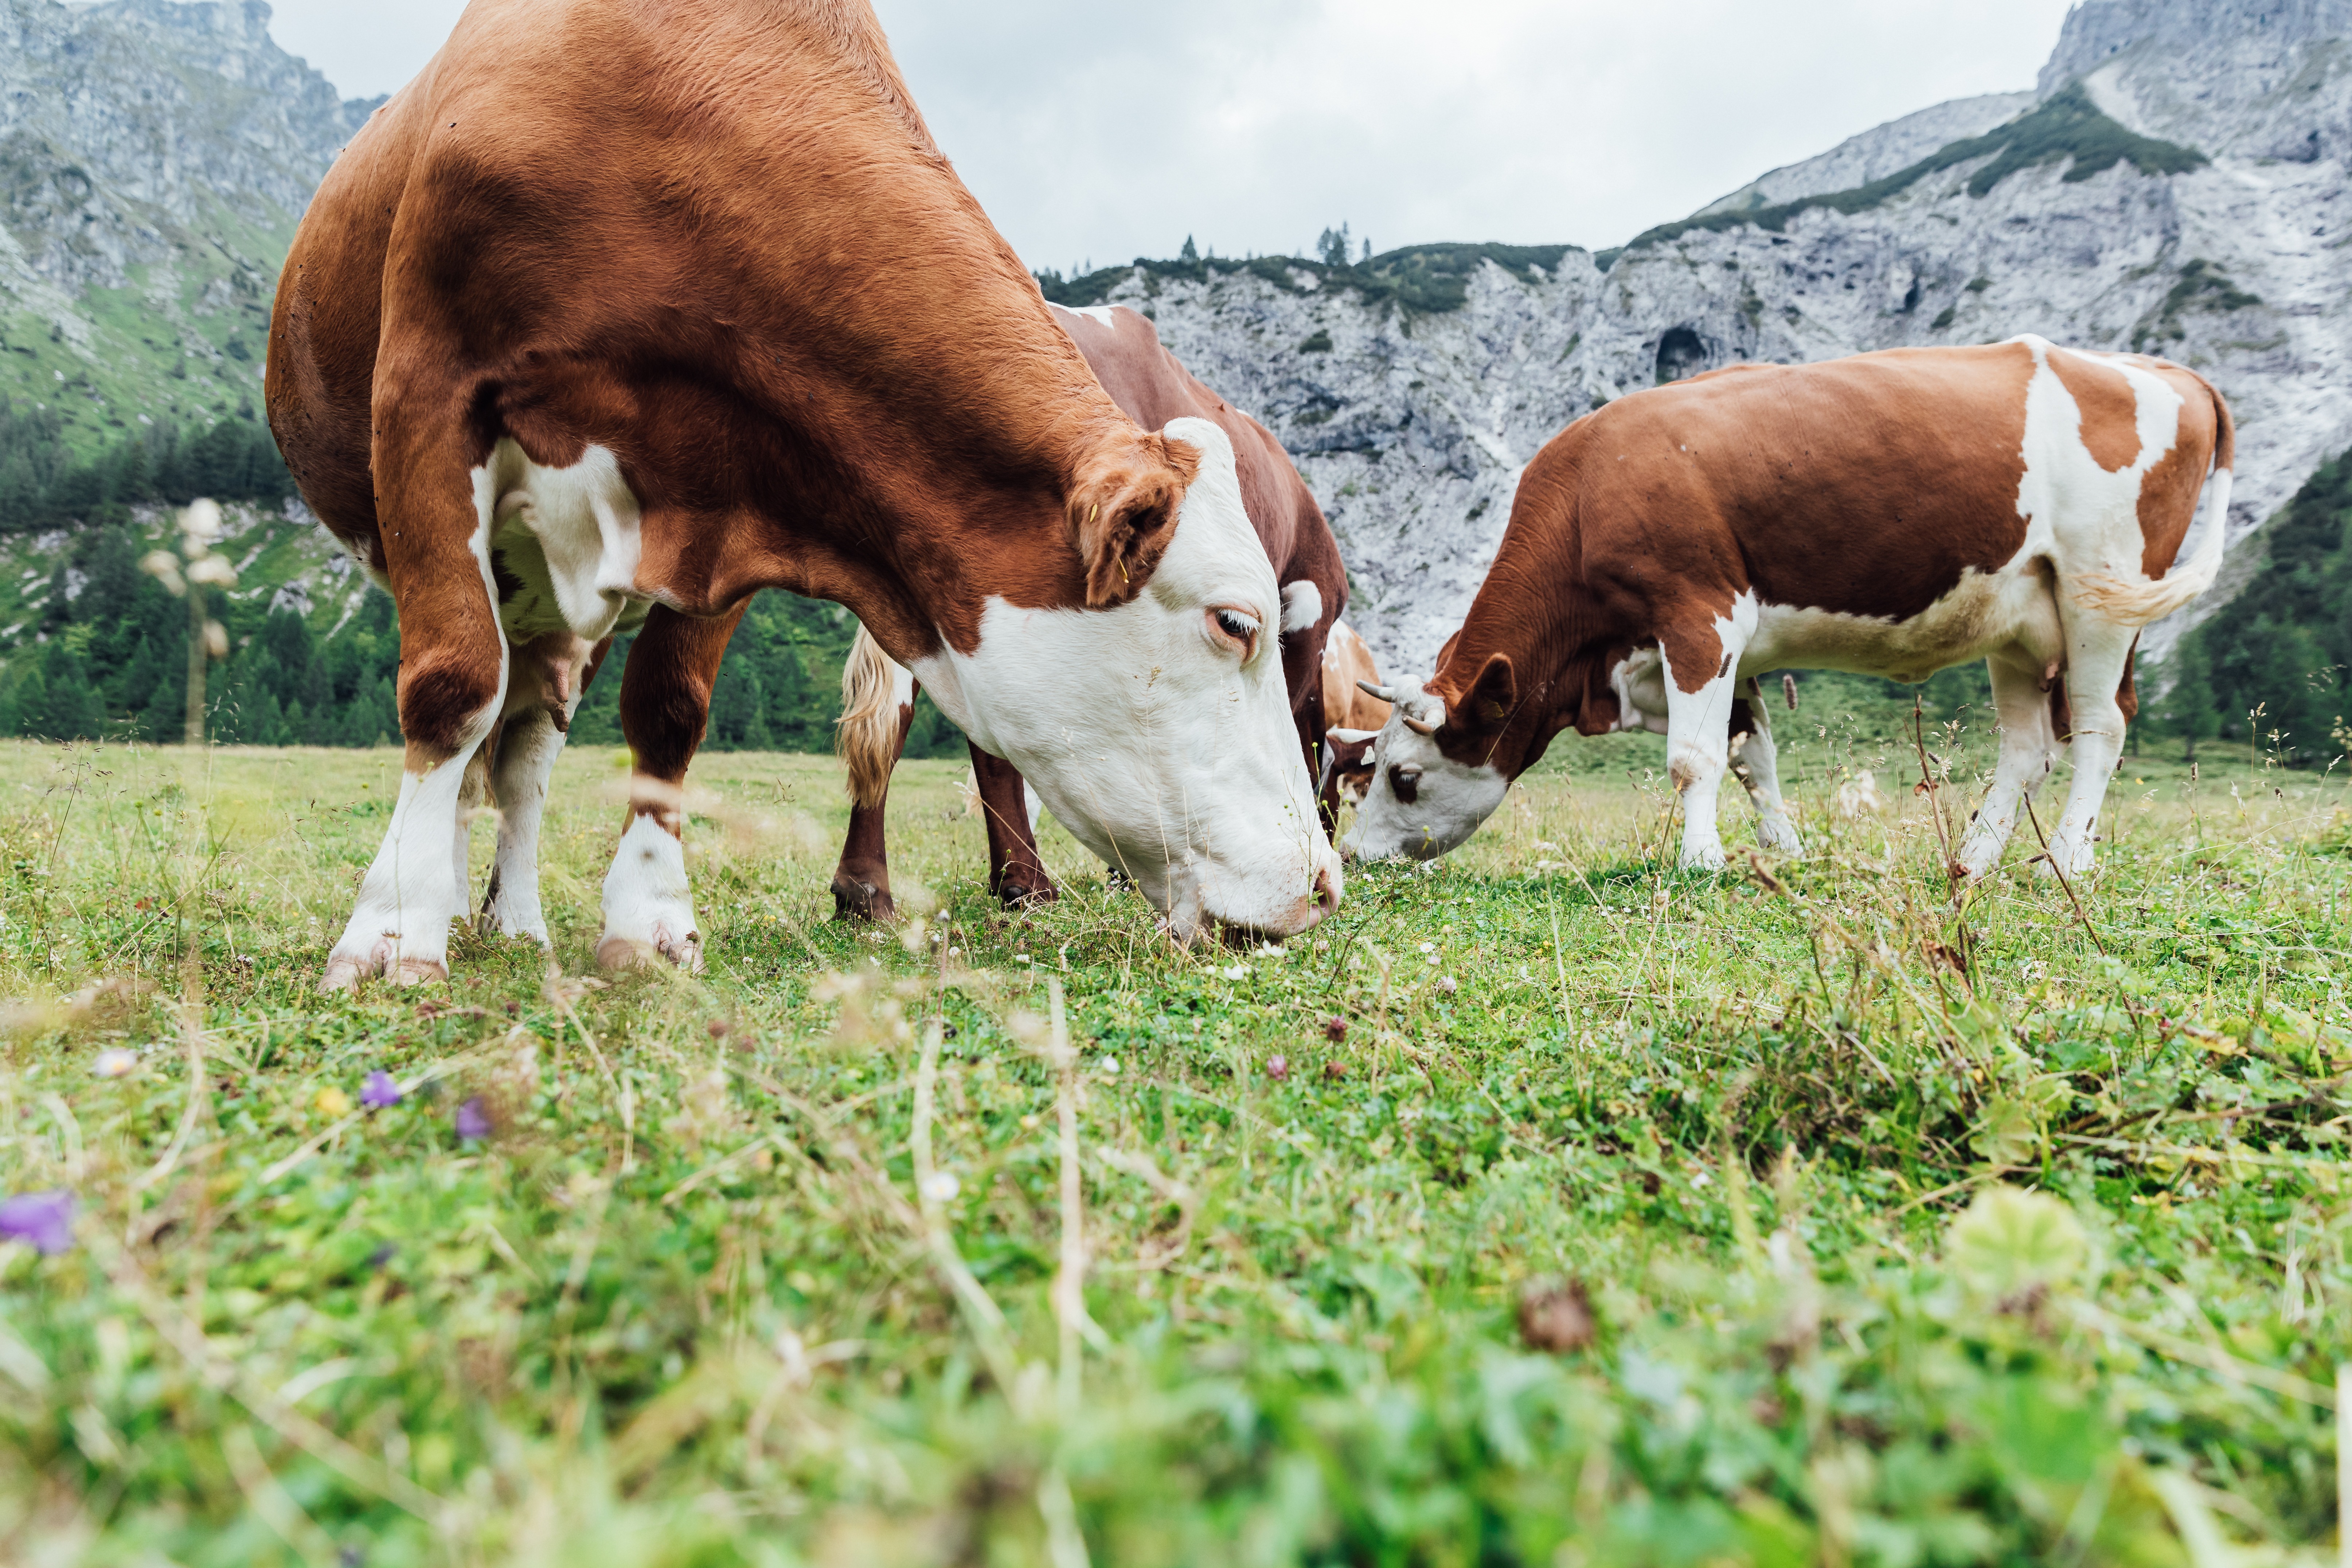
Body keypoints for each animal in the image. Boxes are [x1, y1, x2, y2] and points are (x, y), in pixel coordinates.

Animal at [1341, 338, 2234, 881]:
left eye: (1404, 776)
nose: (1352, 853)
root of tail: (2168, 370)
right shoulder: (1722, 651)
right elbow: (1751, 758)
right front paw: (1785, 852)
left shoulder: (1698, 614)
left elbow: (1691, 759)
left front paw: (1699, 862)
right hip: (2020, 623)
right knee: (2026, 748)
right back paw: (1974, 859)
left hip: (2102, 593)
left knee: (2100, 728)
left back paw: (2067, 862)